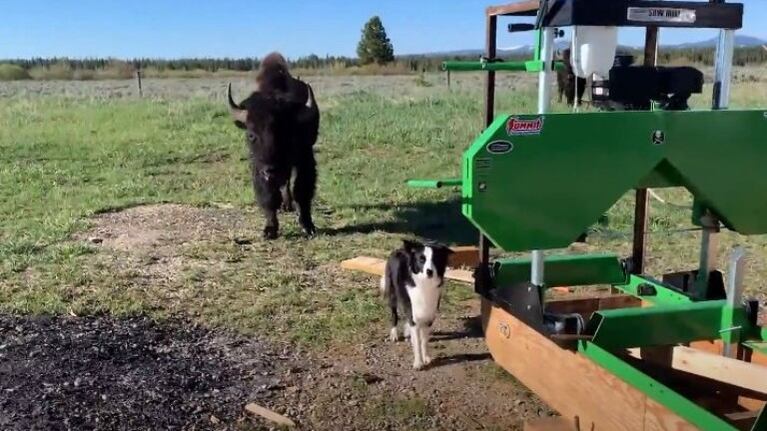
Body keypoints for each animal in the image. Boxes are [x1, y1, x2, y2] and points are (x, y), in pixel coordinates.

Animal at [226, 53, 320, 240]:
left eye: (287, 133)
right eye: (251, 134)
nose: (271, 170)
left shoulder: (305, 158)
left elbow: (302, 191)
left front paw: (308, 226)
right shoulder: (257, 166)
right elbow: (268, 196)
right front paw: (270, 229)